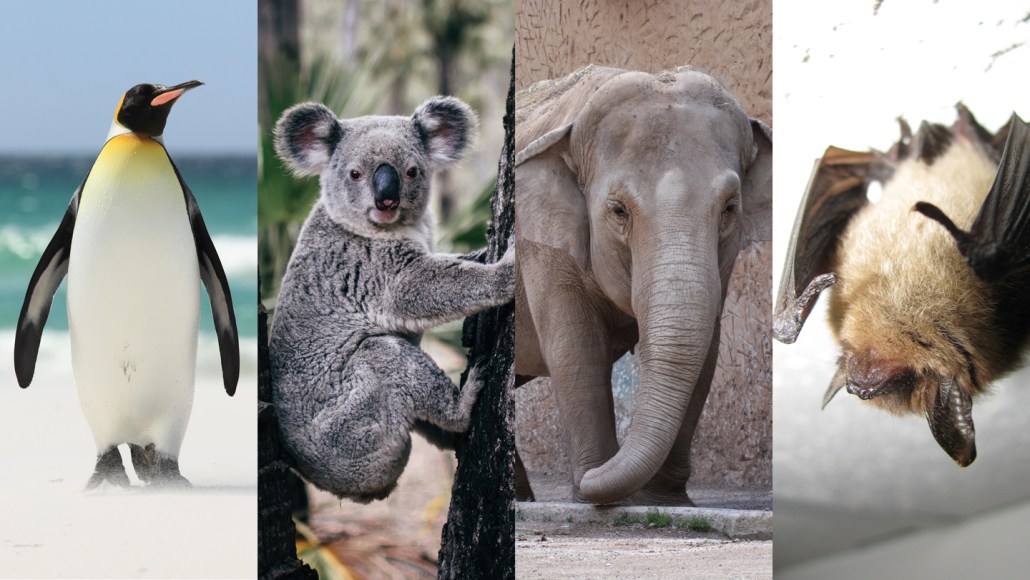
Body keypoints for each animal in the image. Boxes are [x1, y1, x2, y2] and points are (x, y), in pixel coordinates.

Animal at [514, 65, 772, 505]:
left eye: (729, 209)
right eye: (618, 211)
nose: (581, 479)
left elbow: (706, 351)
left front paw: (662, 501)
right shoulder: (542, 247)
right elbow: (576, 348)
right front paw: (595, 493)